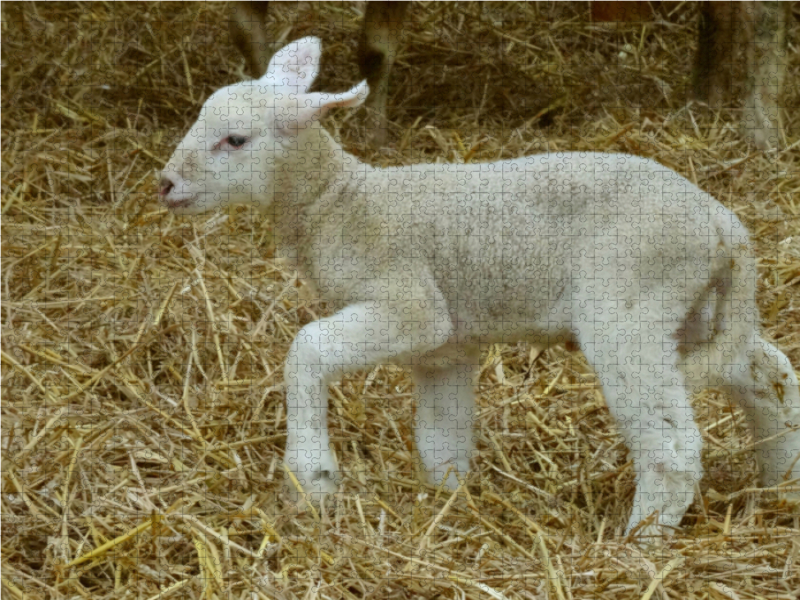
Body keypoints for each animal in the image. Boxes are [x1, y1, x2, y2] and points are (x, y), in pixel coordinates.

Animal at [158, 36, 800, 536]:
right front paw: (446, 506)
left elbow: (307, 348)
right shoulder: (446, 345)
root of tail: (722, 221)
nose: (164, 184)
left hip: (631, 307)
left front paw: (312, 479)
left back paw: (639, 540)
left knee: (673, 445)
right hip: (698, 308)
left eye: (235, 140)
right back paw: (780, 482)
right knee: (765, 371)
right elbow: (441, 438)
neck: (339, 202)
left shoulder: (411, 304)